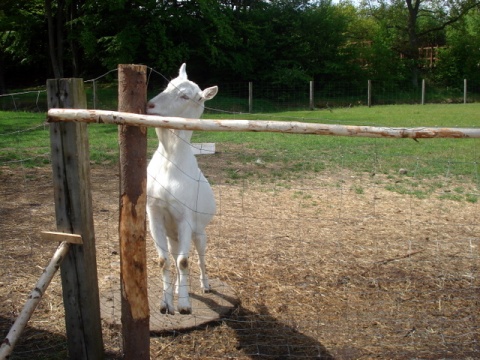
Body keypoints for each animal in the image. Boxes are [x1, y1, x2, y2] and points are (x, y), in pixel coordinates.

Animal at [145, 63, 218, 314]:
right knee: (175, 255)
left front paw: (185, 305)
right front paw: (165, 304)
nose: (150, 105)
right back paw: (177, 288)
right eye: (167, 86)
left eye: (185, 96)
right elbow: (164, 260)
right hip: (173, 235)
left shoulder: (185, 216)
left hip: (199, 232)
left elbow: (185, 261)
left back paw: (205, 285)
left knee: (201, 256)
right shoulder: (154, 212)